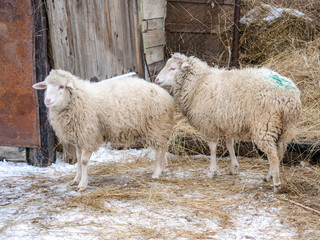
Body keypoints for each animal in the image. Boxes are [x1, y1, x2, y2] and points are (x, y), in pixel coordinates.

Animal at [32, 69, 174, 191]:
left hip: (156, 126)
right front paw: (76, 179)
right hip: (159, 128)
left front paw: (82, 185)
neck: (78, 98)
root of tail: (165, 95)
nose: (47, 100)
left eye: (61, 86)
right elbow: (78, 160)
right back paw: (162, 168)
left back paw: (156, 172)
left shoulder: (89, 136)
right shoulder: (79, 139)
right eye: (46, 86)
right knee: (163, 147)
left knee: (159, 150)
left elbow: (83, 161)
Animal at [156, 53, 302, 192]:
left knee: (273, 154)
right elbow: (229, 144)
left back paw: (276, 183)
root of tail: (289, 97)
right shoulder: (227, 122)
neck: (197, 84)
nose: (156, 79)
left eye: (173, 68)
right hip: (286, 126)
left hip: (264, 125)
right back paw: (270, 176)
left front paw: (211, 171)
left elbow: (213, 148)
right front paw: (234, 167)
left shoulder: (209, 125)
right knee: (279, 151)